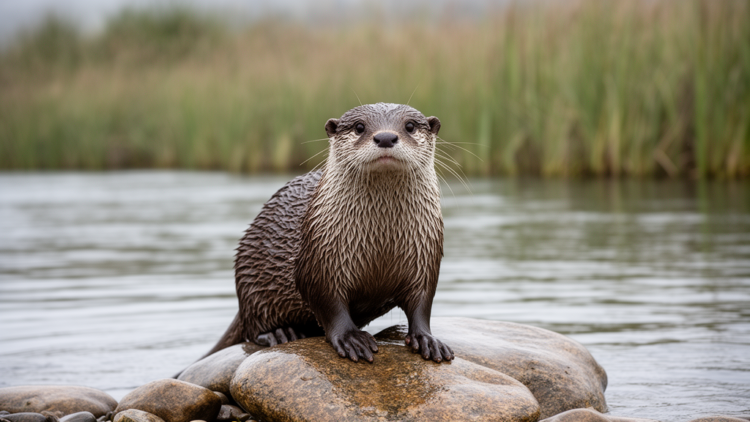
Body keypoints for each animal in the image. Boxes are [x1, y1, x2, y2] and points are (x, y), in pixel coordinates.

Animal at [205, 103, 453, 363]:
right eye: (359, 127)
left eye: (410, 126)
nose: (385, 137)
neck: (382, 244)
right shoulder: (320, 258)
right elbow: (328, 302)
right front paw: (350, 338)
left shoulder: (425, 255)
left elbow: (422, 302)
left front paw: (427, 339)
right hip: (251, 281)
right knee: (254, 327)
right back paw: (279, 333)